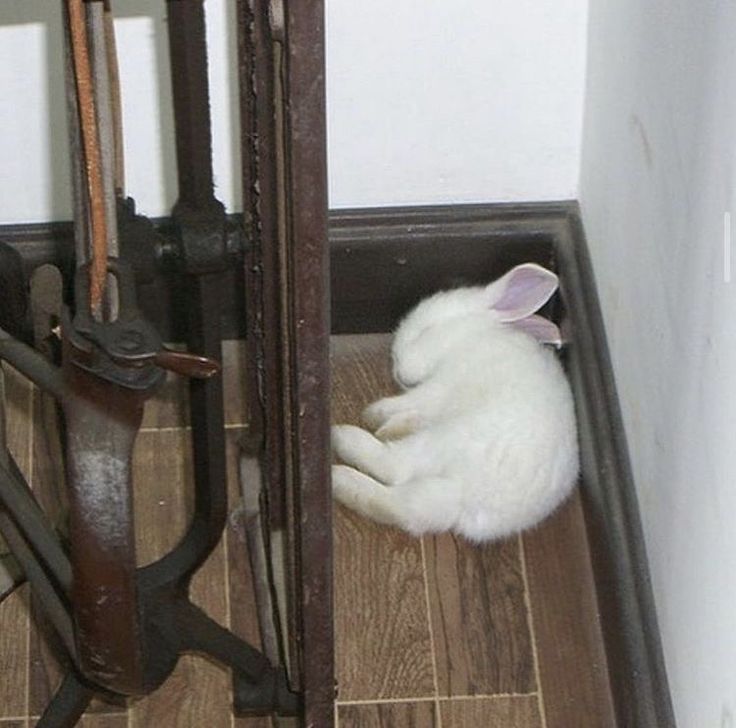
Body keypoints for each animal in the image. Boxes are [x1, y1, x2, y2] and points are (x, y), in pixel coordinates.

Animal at [334, 262, 580, 540]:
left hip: (446, 438)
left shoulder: (442, 384)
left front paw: (373, 414)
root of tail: (462, 494)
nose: (398, 366)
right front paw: (391, 424)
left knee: (395, 467)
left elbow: (410, 401)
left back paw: (342, 449)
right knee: (403, 506)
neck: (471, 337)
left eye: (426, 331)